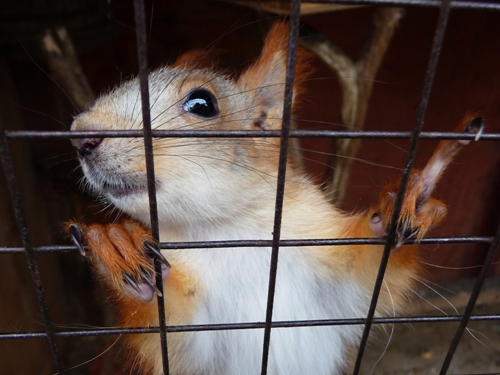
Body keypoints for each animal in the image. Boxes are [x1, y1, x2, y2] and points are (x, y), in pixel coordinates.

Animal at [65, 22, 480, 375]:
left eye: (202, 104)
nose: (80, 136)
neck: (230, 230)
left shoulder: (331, 281)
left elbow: (371, 272)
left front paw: (411, 197)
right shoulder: (198, 342)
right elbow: (173, 341)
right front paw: (118, 246)